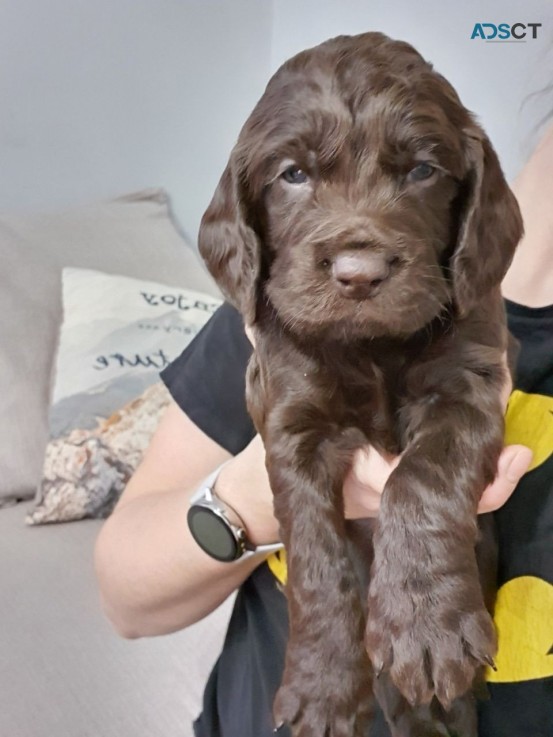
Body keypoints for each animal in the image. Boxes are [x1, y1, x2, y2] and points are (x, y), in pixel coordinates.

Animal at [197, 30, 520, 736]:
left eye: (422, 170)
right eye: (292, 174)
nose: (359, 273)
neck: (371, 348)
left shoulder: (468, 383)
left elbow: (421, 478)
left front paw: (426, 627)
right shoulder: (292, 420)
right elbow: (317, 554)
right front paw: (322, 687)